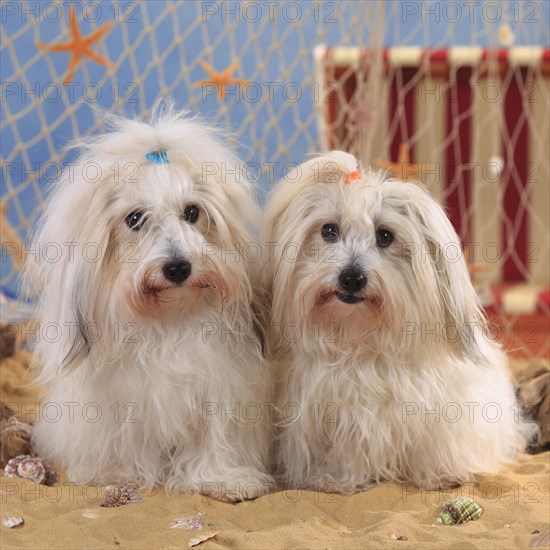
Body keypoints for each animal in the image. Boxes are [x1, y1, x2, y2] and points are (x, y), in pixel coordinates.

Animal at [25, 103, 276, 504]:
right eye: (135, 219)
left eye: (192, 212)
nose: (177, 267)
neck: (168, 318)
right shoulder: (119, 401)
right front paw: (123, 472)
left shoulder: (221, 388)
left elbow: (216, 438)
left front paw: (222, 479)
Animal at [264, 150, 540, 496]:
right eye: (328, 230)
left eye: (385, 236)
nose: (352, 277)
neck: (363, 341)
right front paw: (335, 479)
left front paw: (441, 474)